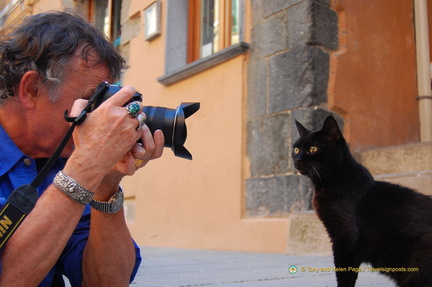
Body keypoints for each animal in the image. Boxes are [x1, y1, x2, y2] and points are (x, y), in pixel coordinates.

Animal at [292, 116, 432, 287]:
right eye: (296, 150)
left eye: (313, 149)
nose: (298, 159)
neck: (332, 181)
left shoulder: (345, 237)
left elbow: (344, 274)